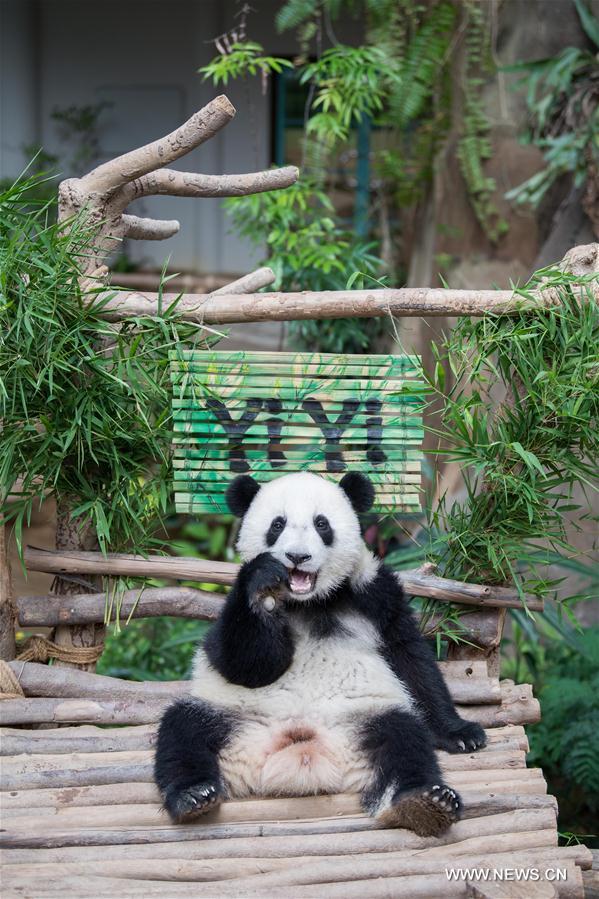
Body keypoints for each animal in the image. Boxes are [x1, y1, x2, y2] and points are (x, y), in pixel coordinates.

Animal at [155, 472, 488, 836]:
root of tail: (305, 755)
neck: (309, 602)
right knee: (182, 732)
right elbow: (244, 664)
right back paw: (193, 795)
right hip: (233, 719)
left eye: (321, 524)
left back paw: (425, 801)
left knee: (404, 738)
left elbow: (410, 660)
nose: (297, 556)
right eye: (277, 524)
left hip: (364, 719)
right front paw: (263, 585)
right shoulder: (234, 603)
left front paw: (460, 733)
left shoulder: (374, 594)